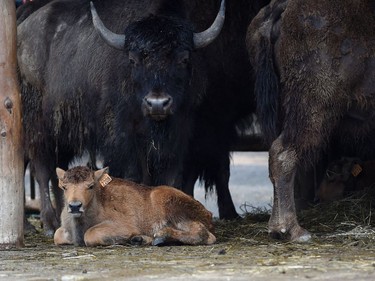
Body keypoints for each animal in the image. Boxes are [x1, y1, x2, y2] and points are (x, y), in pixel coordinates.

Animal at [54, 165, 216, 246]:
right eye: (64, 187)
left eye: (91, 186)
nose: (75, 206)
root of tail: (208, 213)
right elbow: (57, 235)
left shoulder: (124, 226)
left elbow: (90, 235)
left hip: (174, 209)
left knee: (204, 234)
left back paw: (159, 237)